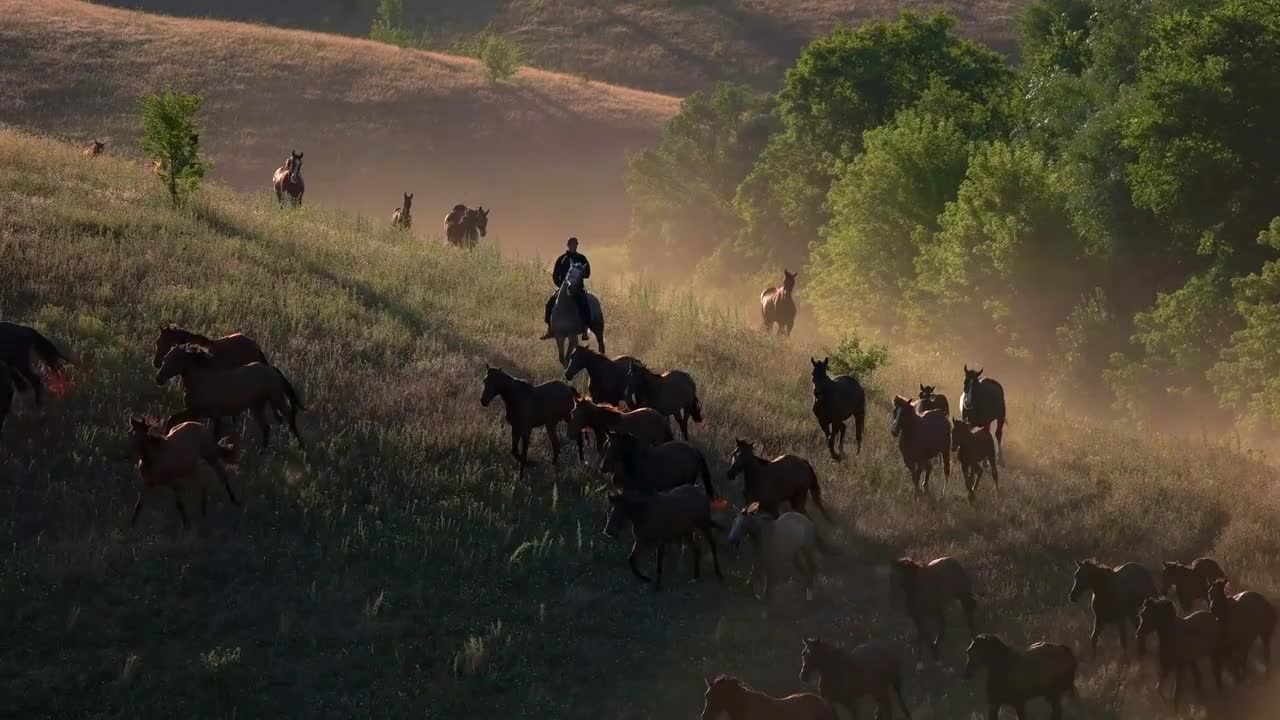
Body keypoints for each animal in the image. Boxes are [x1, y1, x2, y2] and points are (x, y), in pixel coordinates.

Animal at [153, 343, 303, 448]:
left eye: (175, 359)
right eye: (166, 358)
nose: (158, 378)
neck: (203, 381)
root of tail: (271, 369)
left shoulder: (211, 414)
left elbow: (215, 436)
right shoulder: (195, 412)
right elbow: (173, 419)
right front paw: (166, 436)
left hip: (276, 398)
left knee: (290, 416)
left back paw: (301, 447)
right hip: (257, 407)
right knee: (266, 428)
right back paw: (262, 452)